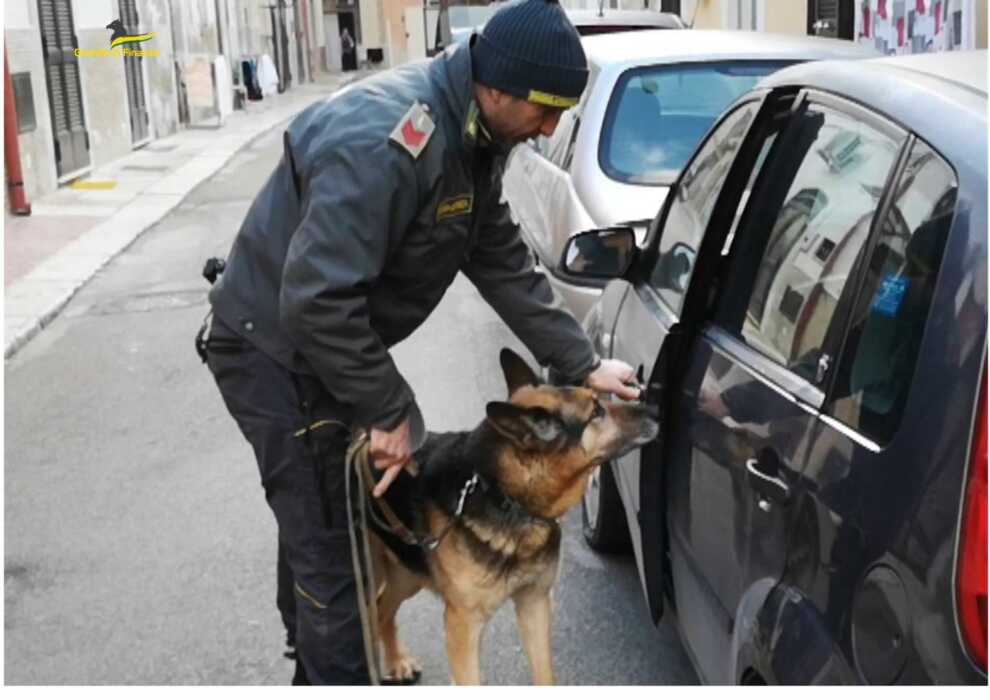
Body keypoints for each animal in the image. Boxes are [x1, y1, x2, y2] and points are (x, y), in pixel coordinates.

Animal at [364, 348, 659, 684]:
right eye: (596, 412)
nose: (655, 409)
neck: (502, 494)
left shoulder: (535, 604)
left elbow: (545, 676)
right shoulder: (463, 626)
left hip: (407, 574)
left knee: (383, 610)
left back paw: (396, 660)